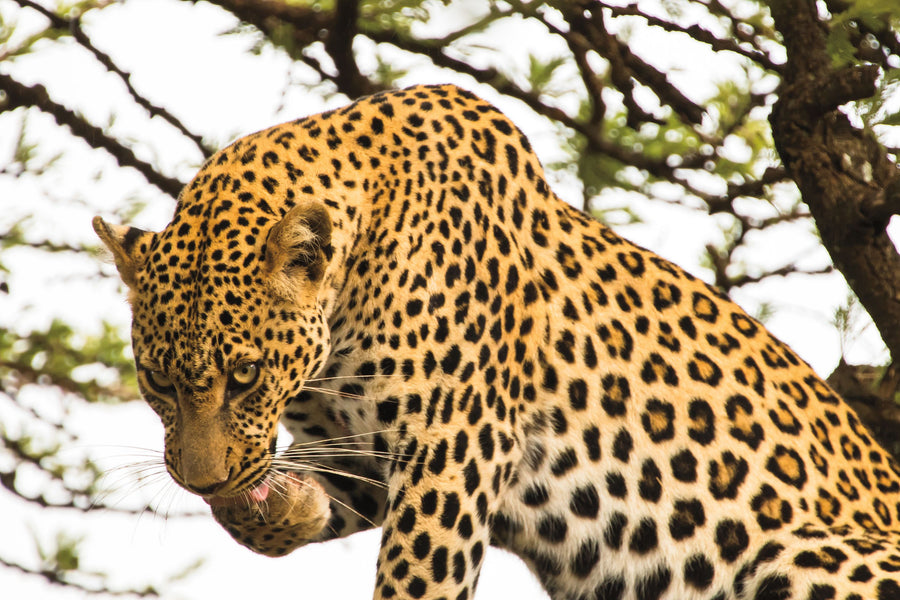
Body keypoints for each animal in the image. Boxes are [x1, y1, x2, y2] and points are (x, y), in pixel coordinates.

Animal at [94, 84, 900, 600]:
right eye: (157, 382)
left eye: (245, 375)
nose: (201, 482)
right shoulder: (362, 452)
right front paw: (280, 506)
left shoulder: (452, 446)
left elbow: (418, 581)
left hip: (800, 552)